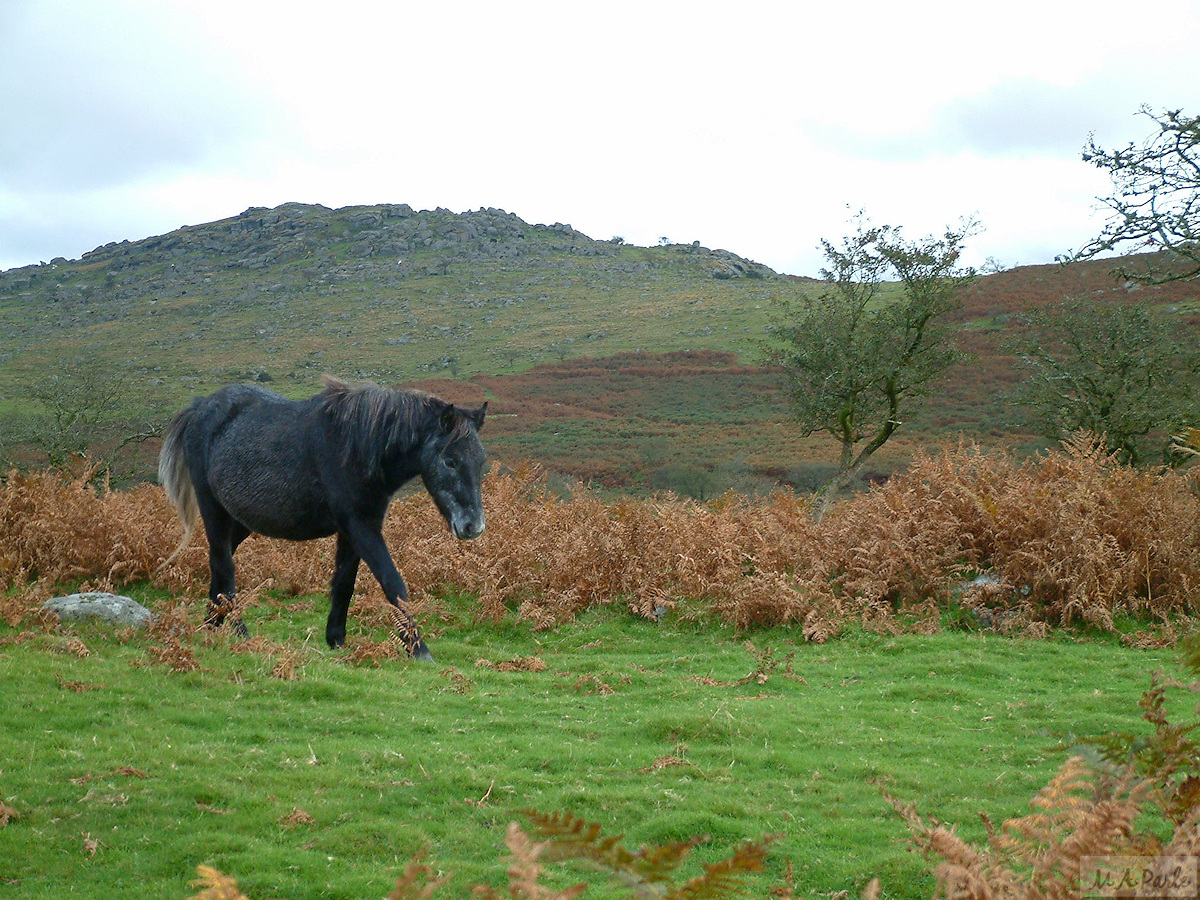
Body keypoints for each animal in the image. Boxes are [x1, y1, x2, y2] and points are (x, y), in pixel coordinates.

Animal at [158, 374, 487, 662]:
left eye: (480, 460)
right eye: (450, 461)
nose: (473, 526)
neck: (358, 446)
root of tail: (200, 407)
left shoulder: (355, 529)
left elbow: (344, 584)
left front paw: (336, 639)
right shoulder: (361, 527)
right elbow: (392, 582)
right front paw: (418, 649)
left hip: (237, 522)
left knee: (219, 569)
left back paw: (211, 624)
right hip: (213, 511)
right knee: (224, 568)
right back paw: (239, 632)